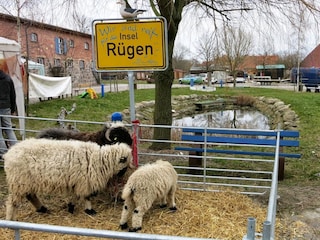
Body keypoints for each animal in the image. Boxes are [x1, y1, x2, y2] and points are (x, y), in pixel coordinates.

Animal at [4, 138, 133, 220]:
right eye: (125, 163)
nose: (123, 176)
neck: (99, 159)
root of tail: (8, 154)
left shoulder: (76, 181)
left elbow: (75, 196)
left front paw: (71, 207)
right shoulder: (84, 182)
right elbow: (86, 197)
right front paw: (90, 210)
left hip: (26, 181)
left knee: (30, 195)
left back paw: (42, 208)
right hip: (19, 181)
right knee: (12, 202)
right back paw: (10, 218)